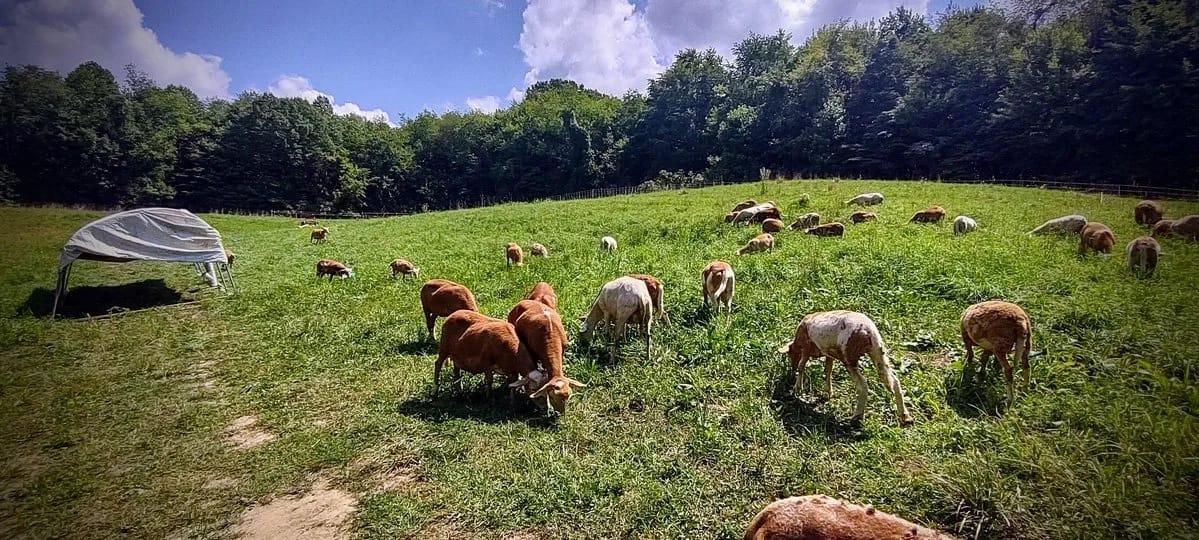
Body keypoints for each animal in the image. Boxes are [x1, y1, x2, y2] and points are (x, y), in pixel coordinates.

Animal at [772, 312, 911, 427]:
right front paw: (828, 393)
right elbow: (828, 370)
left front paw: (797, 389)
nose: (791, 369)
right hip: (878, 351)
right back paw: (906, 418)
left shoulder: (806, 346)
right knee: (893, 380)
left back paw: (856, 418)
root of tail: (868, 332)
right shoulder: (828, 354)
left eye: (790, 354)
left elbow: (802, 366)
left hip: (849, 357)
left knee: (863, 385)